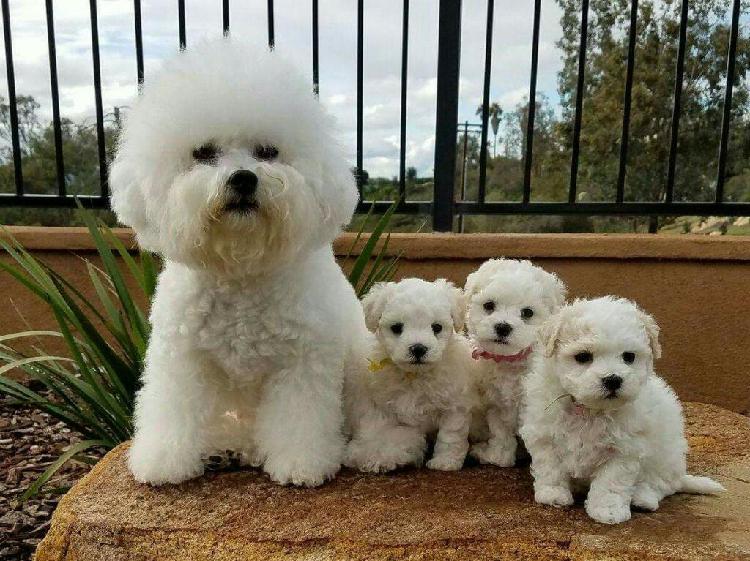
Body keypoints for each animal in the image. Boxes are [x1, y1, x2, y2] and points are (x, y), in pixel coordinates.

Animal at [110, 38, 368, 486]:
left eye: (268, 151)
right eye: (203, 153)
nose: (244, 178)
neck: (241, 267)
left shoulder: (302, 363)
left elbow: (299, 418)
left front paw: (301, 463)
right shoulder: (183, 358)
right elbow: (172, 409)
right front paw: (163, 460)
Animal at [346, 278, 476, 470]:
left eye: (437, 327)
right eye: (396, 328)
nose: (418, 348)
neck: (415, 376)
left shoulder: (454, 405)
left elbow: (450, 436)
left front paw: (445, 462)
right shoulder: (387, 409)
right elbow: (392, 434)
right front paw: (377, 455)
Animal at [464, 260, 568, 466]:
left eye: (527, 313)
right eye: (489, 305)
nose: (503, 327)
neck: (511, 360)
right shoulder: (496, 404)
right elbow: (500, 433)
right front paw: (498, 457)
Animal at [520, 296, 724, 524]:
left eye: (629, 357)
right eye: (583, 357)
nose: (613, 379)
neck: (590, 410)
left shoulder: (624, 450)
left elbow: (611, 483)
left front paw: (608, 511)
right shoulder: (545, 436)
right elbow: (550, 467)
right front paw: (553, 494)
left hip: (667, 456)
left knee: (659, 484)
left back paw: (642, 498)